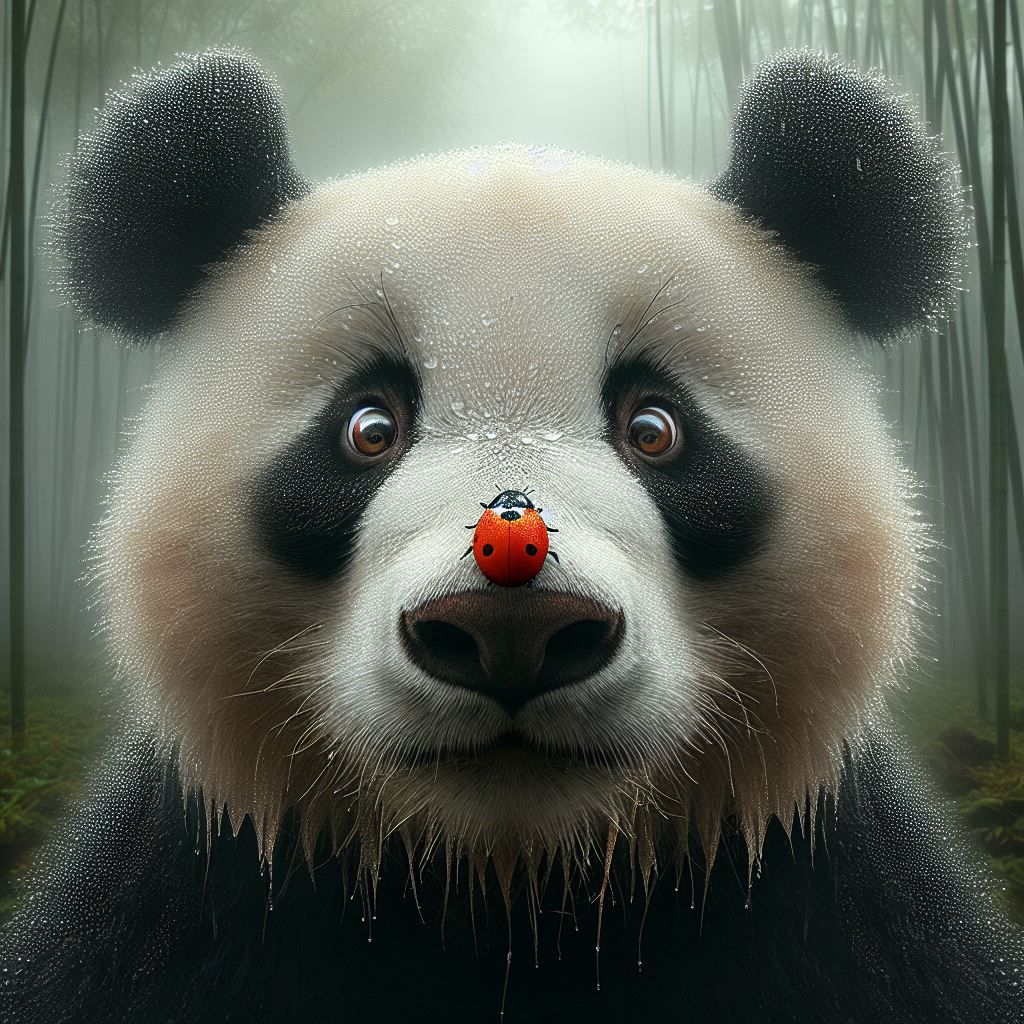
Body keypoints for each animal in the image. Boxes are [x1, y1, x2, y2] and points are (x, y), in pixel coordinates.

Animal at [1, 45, 1022, 1024]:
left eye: (656, 428)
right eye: (368, 427)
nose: (511, 630)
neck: (509, 893)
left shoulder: (836, 904)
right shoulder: (187, 902)